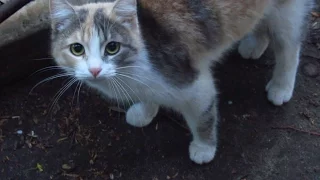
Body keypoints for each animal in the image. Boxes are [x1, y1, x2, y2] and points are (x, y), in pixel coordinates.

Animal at [48, 0, 314, 165]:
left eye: (112, 47)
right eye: (77, 49)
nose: (94, 70)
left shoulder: (195, 84)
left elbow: (203, 118)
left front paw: (204, 148)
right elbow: (148, 96)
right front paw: (145, 111)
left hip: (288, 13)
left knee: (290, 47)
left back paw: (281, 86)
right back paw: (255, 43)